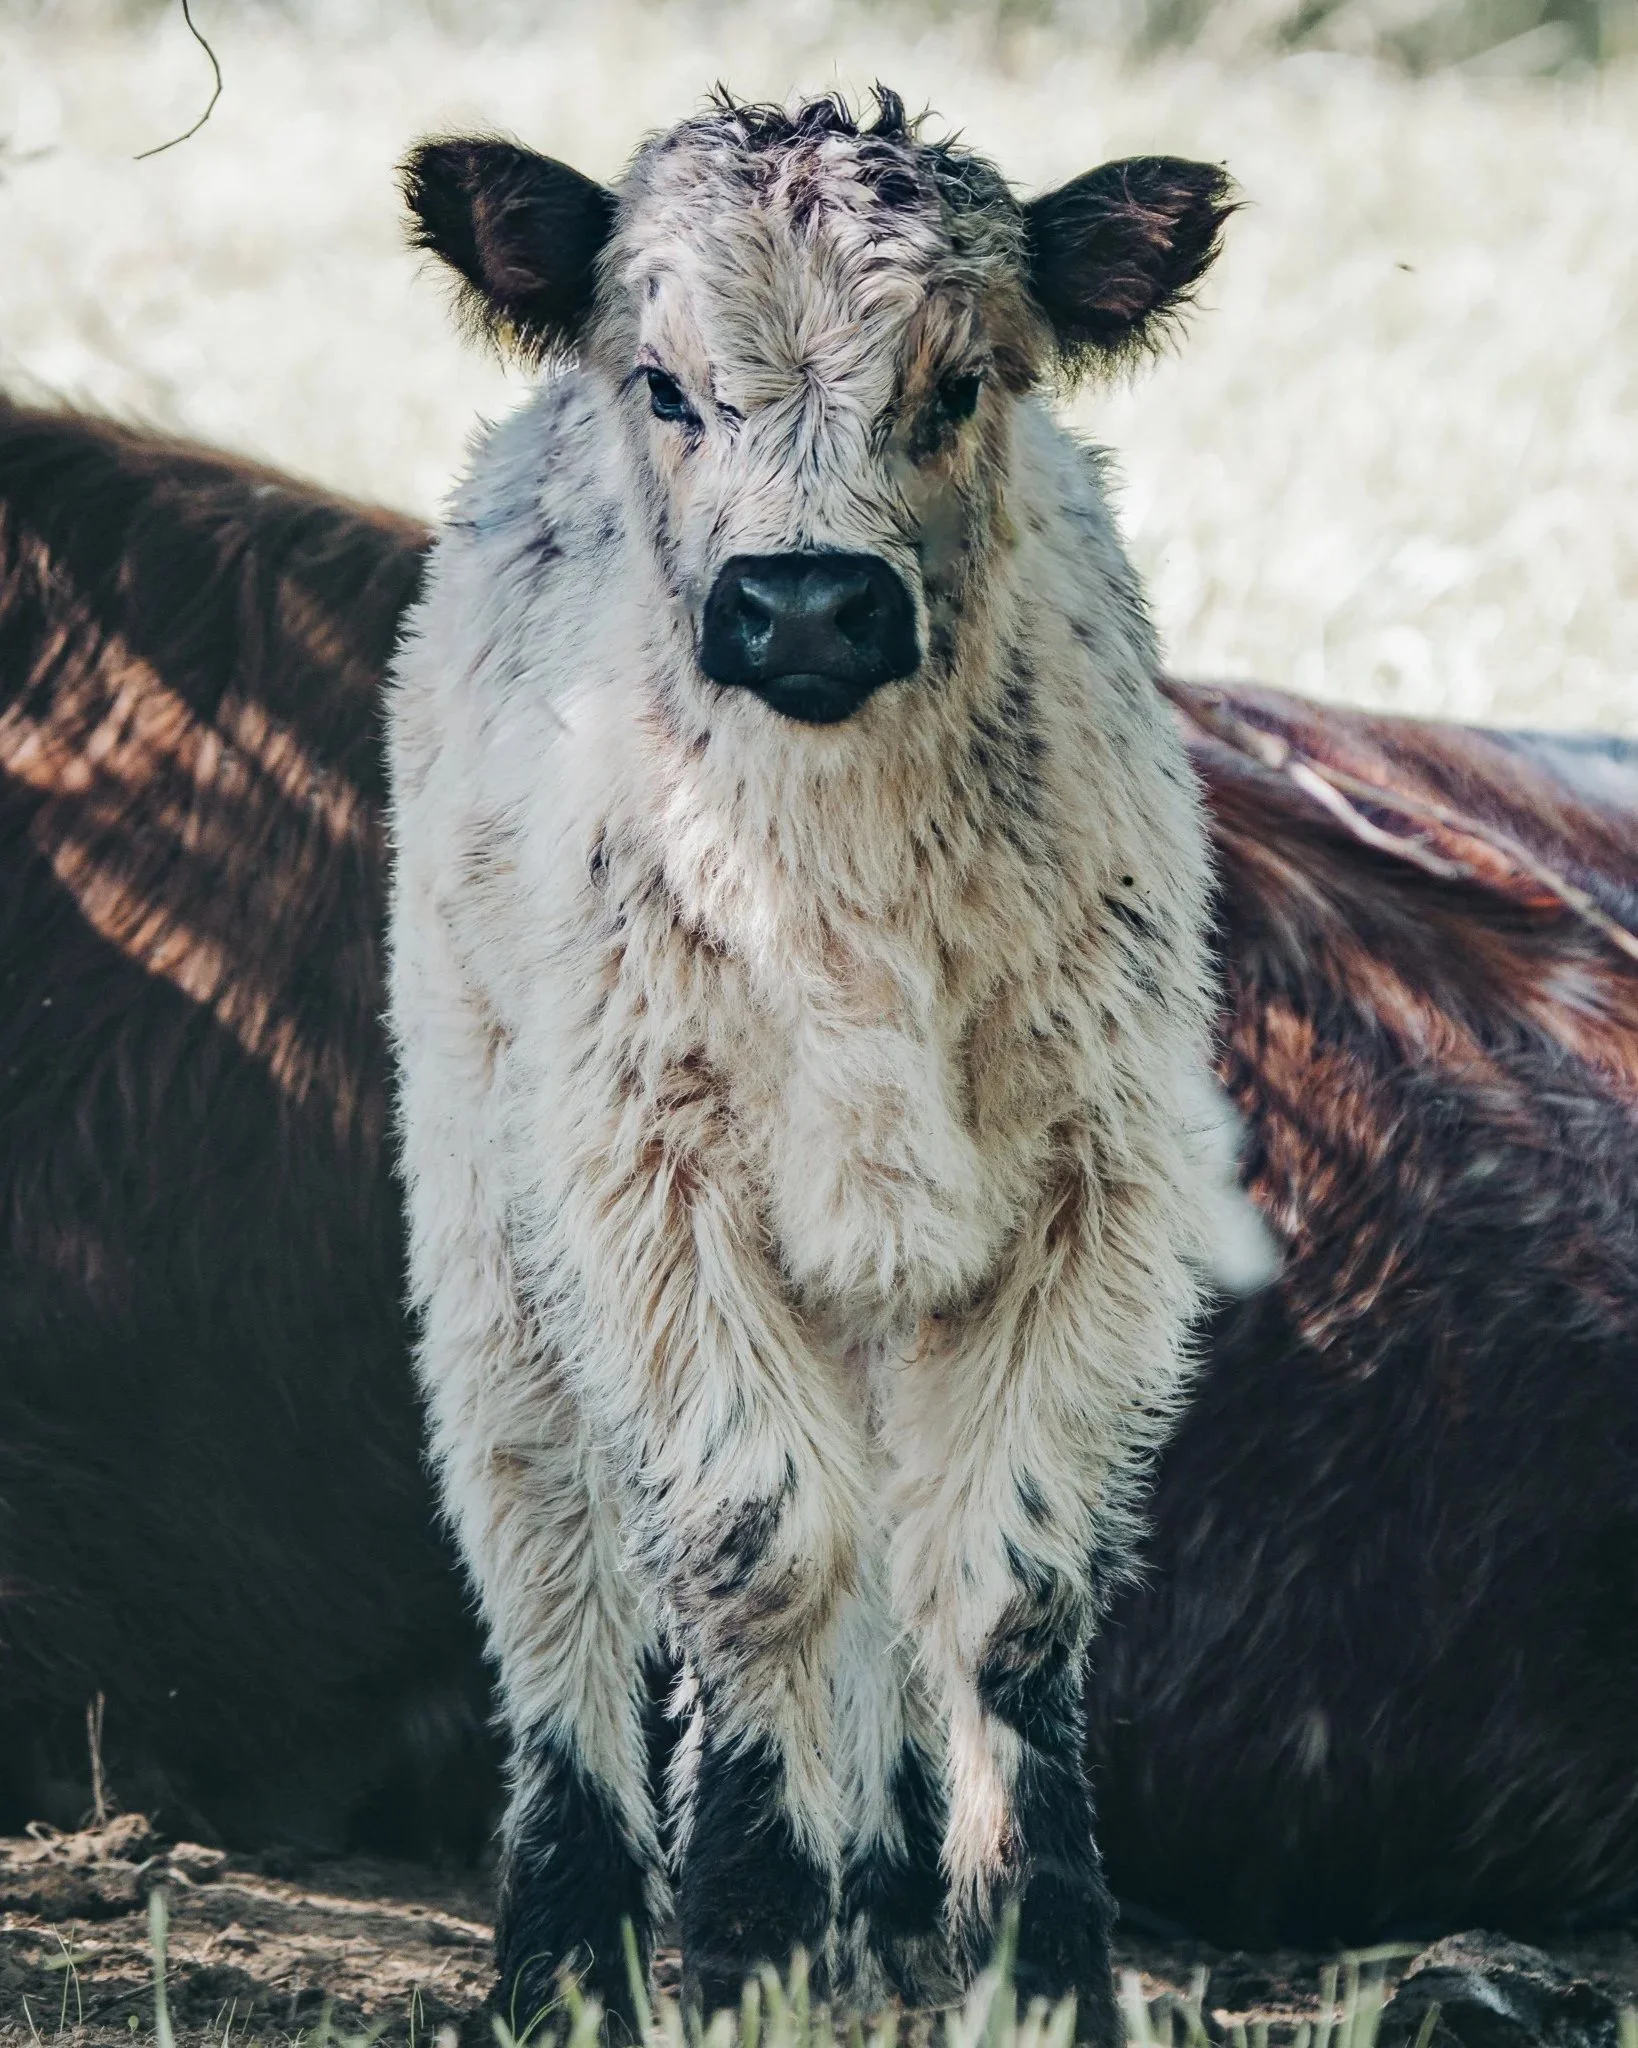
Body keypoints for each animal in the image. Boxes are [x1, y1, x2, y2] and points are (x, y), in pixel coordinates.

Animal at [386, 87, 1243, 2039]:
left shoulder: (1096, 1191)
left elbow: (1004, 1582)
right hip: (481, 1192)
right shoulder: (650, 1187)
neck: (835, 886)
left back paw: (880, 1904)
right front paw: (745, 1947)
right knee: (553, 1544)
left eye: (960, 383)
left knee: (883, 1572)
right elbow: (758, 1540)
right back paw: (570, 1949)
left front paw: (1033, 1961)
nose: (799, 609)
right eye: (663, 384)